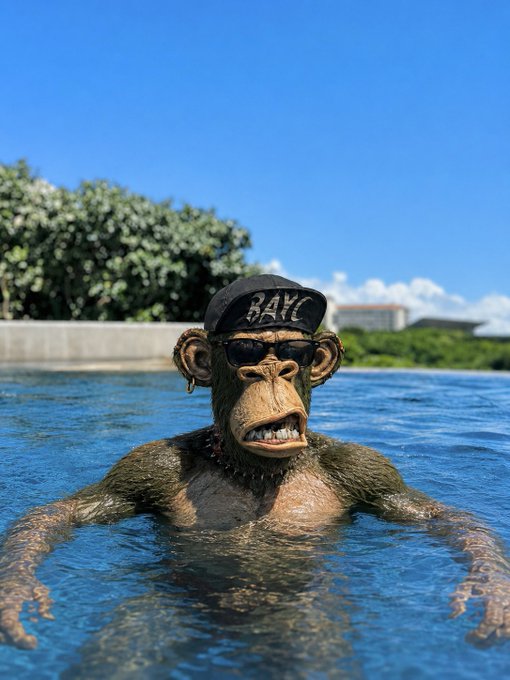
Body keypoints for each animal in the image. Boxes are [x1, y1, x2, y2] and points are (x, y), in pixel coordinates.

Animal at [1, 273, 509, 651]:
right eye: (243, 350)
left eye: (293, 352)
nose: (270, 369)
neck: (255, 472)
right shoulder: (143, 468)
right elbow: (65, 513)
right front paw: (17, 593)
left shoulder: (368, 470)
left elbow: (437, 517)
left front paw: (490, 592)